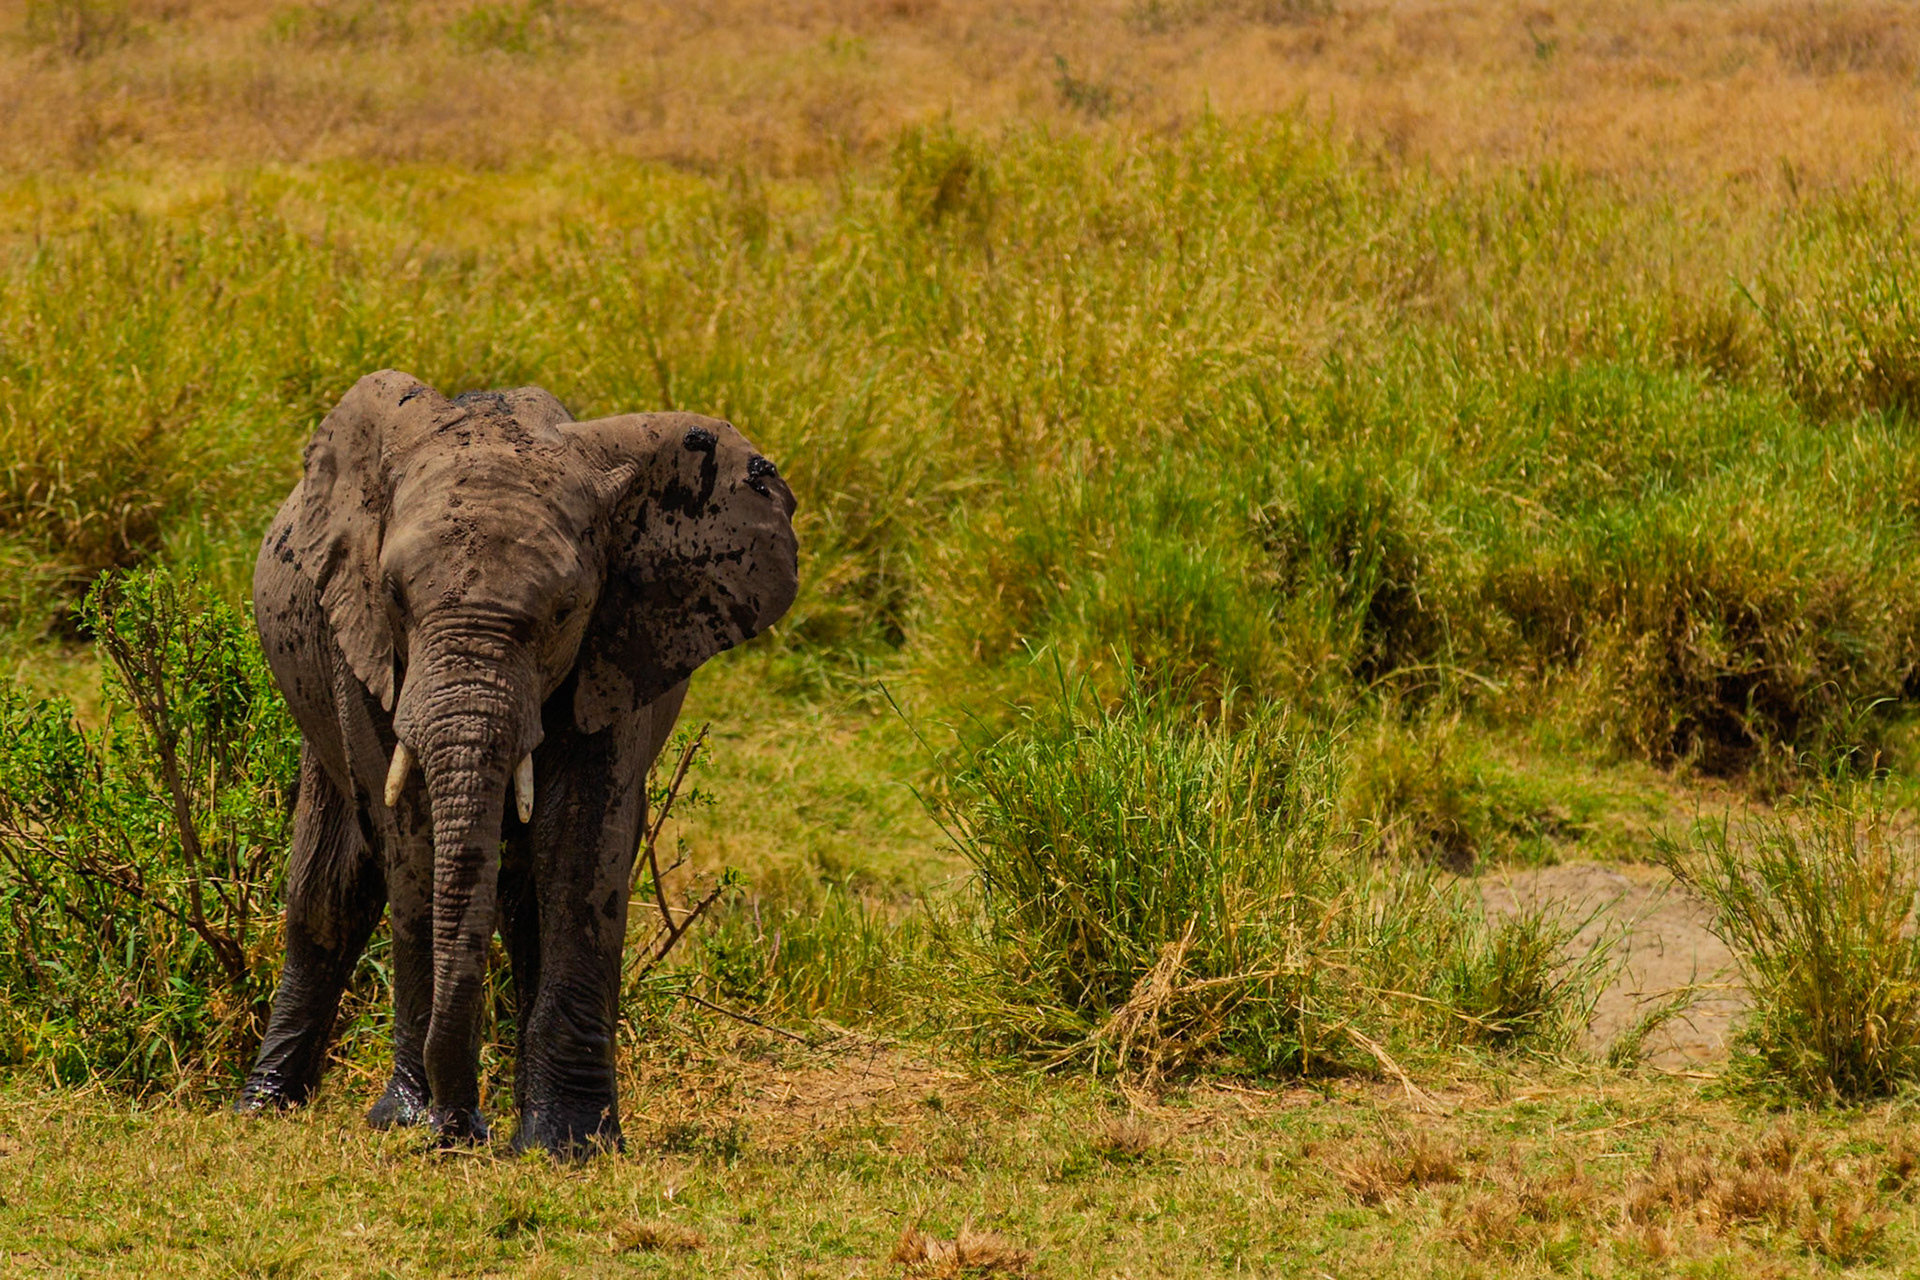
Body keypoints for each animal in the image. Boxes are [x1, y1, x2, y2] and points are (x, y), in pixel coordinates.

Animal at [234, 370, 798, 1156]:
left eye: (565, 611)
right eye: (394, 595)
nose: (461, 1127)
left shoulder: (616, 649)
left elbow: (580, 851)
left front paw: (570, 1146)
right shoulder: (363, 646)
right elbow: (411, 839)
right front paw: (412, 1123)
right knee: (330, 894)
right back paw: (261, 1106)